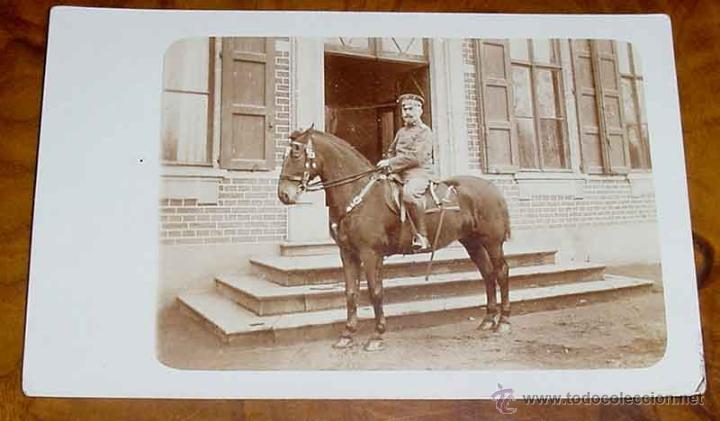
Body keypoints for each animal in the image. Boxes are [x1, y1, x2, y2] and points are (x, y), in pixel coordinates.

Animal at [277, 127, 511, 351]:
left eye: (296, 153)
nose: (284, 195)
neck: (358, 195)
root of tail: (492, 187)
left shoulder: (370, 254)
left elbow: (375, 292)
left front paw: (376, 336)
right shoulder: (347, 253)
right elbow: (351, 293)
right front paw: (347, 335)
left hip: (492, 242)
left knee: (501, 272)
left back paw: (503, 322)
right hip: (473, 242)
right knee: (487, 274)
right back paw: (488, 319)